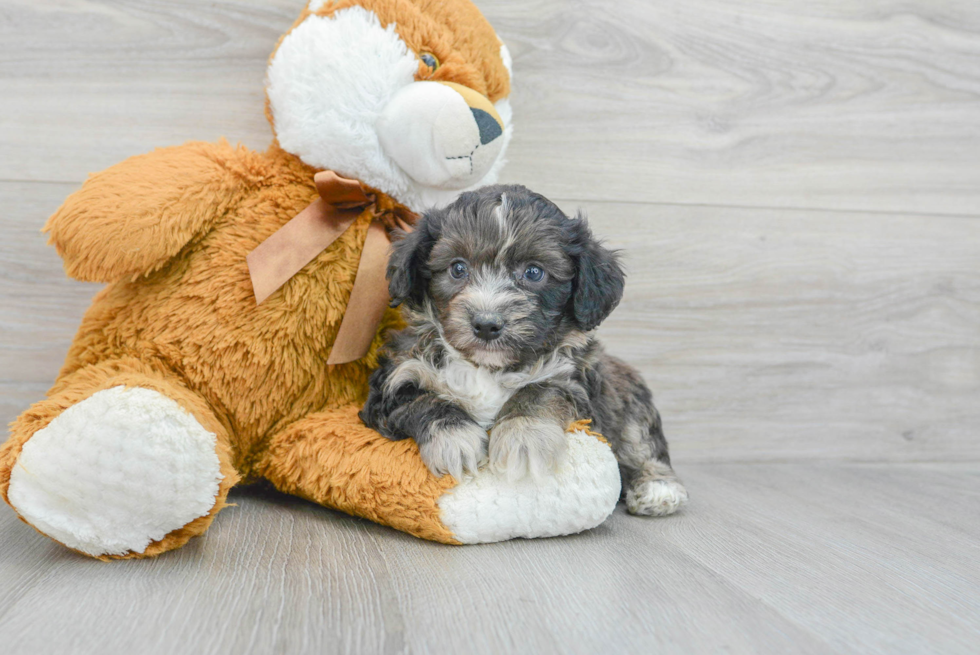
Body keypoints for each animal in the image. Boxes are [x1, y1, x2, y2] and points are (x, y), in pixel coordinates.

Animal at [360, 184, 688, 516]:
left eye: (533, 272)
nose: (486, 324)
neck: (487, 368)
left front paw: (523, 436)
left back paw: (658, 488)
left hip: (629, 399)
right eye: (458, 268)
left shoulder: (575, 382)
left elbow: (540, 390)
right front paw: (456, 440)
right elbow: (423, 400)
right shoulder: (392, 381)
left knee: (641, 443)